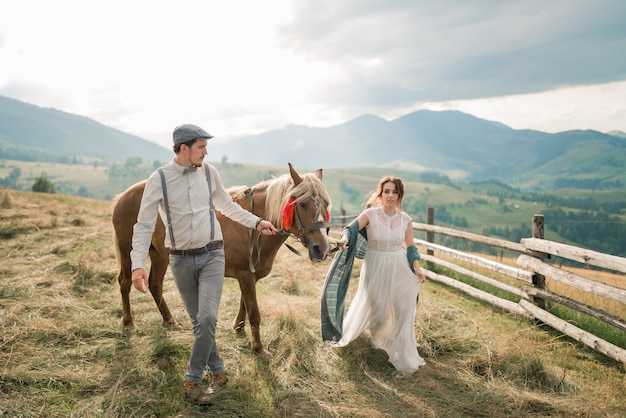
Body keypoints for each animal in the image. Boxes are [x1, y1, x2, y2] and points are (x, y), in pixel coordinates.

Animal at [111, 162, 332, 358]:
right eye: (302, 204)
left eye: (326, 205)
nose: (322, 249)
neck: (252, 227)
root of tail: (123, 196)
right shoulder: (245, 275)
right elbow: (254, 312)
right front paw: (258, 348)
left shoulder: (250, 276)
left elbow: (245, 303)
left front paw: (239, 328)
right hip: (128, 252)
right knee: (125, 282)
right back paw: (128, 322)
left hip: (159, 256)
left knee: (155, 284)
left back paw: (169, 320)